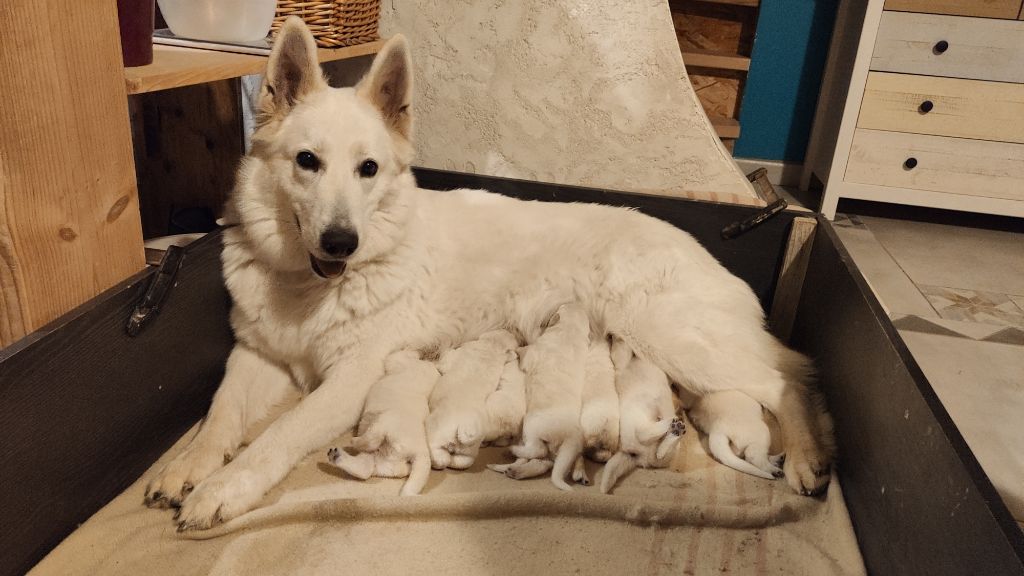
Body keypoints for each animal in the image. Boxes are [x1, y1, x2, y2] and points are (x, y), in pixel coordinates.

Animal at [325, 348, 438, 496]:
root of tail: (421, 452)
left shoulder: (400, 362)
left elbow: (395, 357)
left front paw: (413, 352)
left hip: (385, 424)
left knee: (371, 441)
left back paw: (354, 442)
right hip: (381, 461)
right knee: (365, 469)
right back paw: (336, 456)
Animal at [425, 327, 516, 467]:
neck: (492, 347)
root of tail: (464, 432)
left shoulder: (456, 355)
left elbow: (445, 360)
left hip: (436, 433)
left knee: (439, 455)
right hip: (469, 452)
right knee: (462, 461)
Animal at [489, 301, 589, 487]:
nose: (572, 301)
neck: (570, 332)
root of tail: (568, 437)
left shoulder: (533, 352)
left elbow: (523, 351)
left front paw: (515, 349)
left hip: (532, 428)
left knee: (537, 451)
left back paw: (512, 453)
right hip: (563, 450)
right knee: (546, 462)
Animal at [598, 340, 688, 494]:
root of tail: (640, 455)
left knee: (657, 450)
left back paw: (674, 429)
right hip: (640, 423)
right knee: (646, 435)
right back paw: (672, 426)